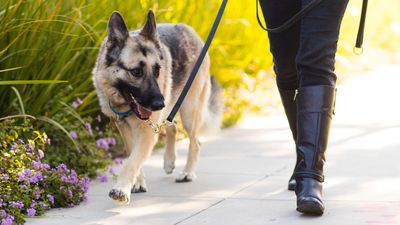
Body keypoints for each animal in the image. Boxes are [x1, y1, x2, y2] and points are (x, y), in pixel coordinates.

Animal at [92, 10, 223, 204]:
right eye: (136, 72)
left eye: (157, 71)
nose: (159, 104)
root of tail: (189, 30)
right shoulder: (124, 127)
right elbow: (133, 156)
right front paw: (137, 183)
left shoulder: (146, 131)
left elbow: (131, 161)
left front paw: (121, 189)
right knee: (172, 126)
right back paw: (169, 161)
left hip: (189, 111)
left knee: (195, 142)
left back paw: (187, 173)